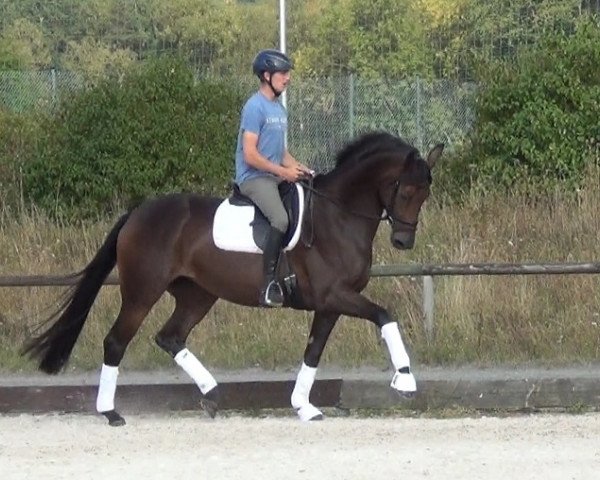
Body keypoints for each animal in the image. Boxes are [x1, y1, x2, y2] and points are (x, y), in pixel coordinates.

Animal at [23, 130, 442, 424]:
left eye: (425, 193)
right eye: (405, 189)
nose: (403, 240)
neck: (338, 216)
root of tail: (137, 213)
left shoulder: (330, 304)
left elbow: (313, 351)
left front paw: (303, 406)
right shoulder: (335, 295)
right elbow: (385, 316)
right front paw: (405, 380)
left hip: (198, 294)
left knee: (170, 336)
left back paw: (211, 395)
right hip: (143, 290)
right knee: (116, 342)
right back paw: (111, 413)